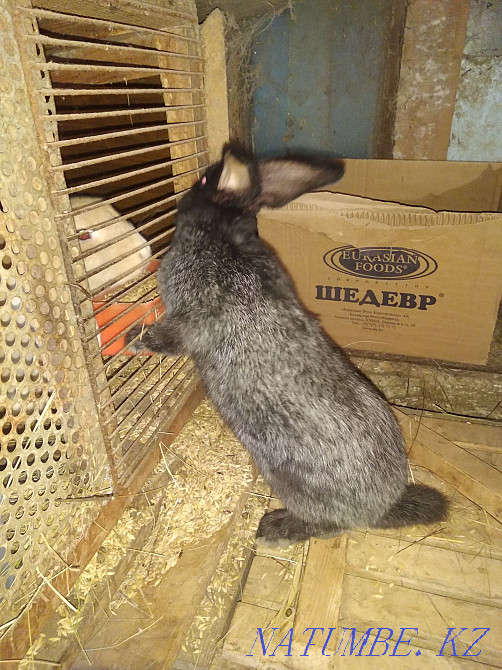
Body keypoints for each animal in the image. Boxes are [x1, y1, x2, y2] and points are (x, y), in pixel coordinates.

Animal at [126, 145, 448, 545]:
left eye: (203, 181)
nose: (181, 198)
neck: (224, 235)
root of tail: (382, 507)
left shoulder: (195, 315)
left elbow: (172, 337)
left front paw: (133, 340)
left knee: (330, 525)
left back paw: (274, 528)